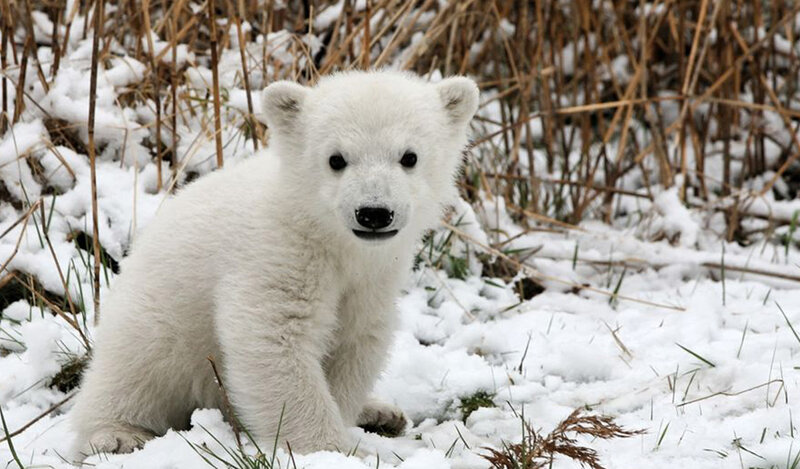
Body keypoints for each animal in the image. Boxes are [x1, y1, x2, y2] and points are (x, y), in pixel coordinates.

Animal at [69, 70, 479, 458]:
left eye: (409, 156)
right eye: (336, 159)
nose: (374, 213)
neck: (325, 234)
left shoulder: (373, 279)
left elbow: (356, 340)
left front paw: (350, 422)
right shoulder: (276, 254)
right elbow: (273, 338)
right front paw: (331, 449)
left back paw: (381, 412)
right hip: (157, 320)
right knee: (133, 371)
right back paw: (117, 435)